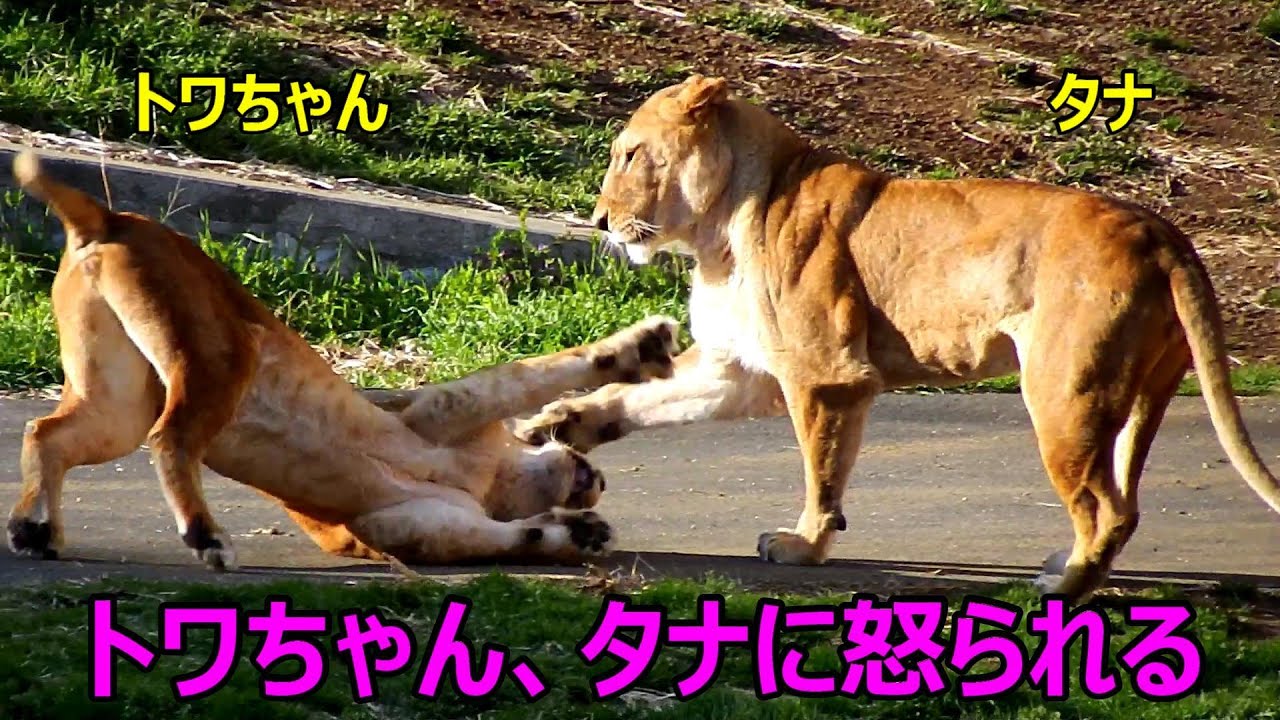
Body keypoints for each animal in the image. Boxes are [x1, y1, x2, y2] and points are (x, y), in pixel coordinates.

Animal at [5, 150, 682, 570]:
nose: (601, 479)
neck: (492, 480)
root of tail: (108, 218)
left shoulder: (420, 528)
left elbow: (521, 535)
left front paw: (583, 534)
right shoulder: (435, 409)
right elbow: (540, 372)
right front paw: (642, 347)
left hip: (119, 399)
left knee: (47, 433)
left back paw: (34, 531)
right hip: (219, 349)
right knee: (170, 439)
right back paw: (207, 538)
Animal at [513, 75, 1280, 601]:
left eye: (630, 154)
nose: (600, 221)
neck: (715, 234)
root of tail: (1160, 229)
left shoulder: (824, 375)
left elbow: (823, 471)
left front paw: (804, 545)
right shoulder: (740, 368)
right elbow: (637, 400)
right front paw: (557, 423)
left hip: (1063, 392)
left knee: (1107, 508)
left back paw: (1062, 589)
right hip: (1139, 395)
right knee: (1125, 498)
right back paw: (1068, 570)